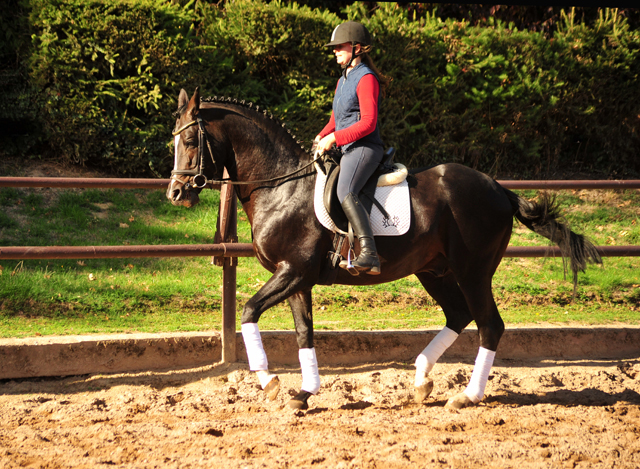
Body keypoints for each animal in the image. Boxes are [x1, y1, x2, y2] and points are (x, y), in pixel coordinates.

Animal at [165, 88, 600, 410]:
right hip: (434, 271)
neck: (281, 186)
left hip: (473, 272)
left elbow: (249, 312)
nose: (175, 194)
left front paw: (270, 382)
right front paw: (304, 394)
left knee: (489, 325)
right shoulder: (297, 279)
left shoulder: (292, 272)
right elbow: (304, 332)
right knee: (459, 316)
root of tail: (498, 189)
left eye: (188, 140)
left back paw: (466, 396)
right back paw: (421, 381)